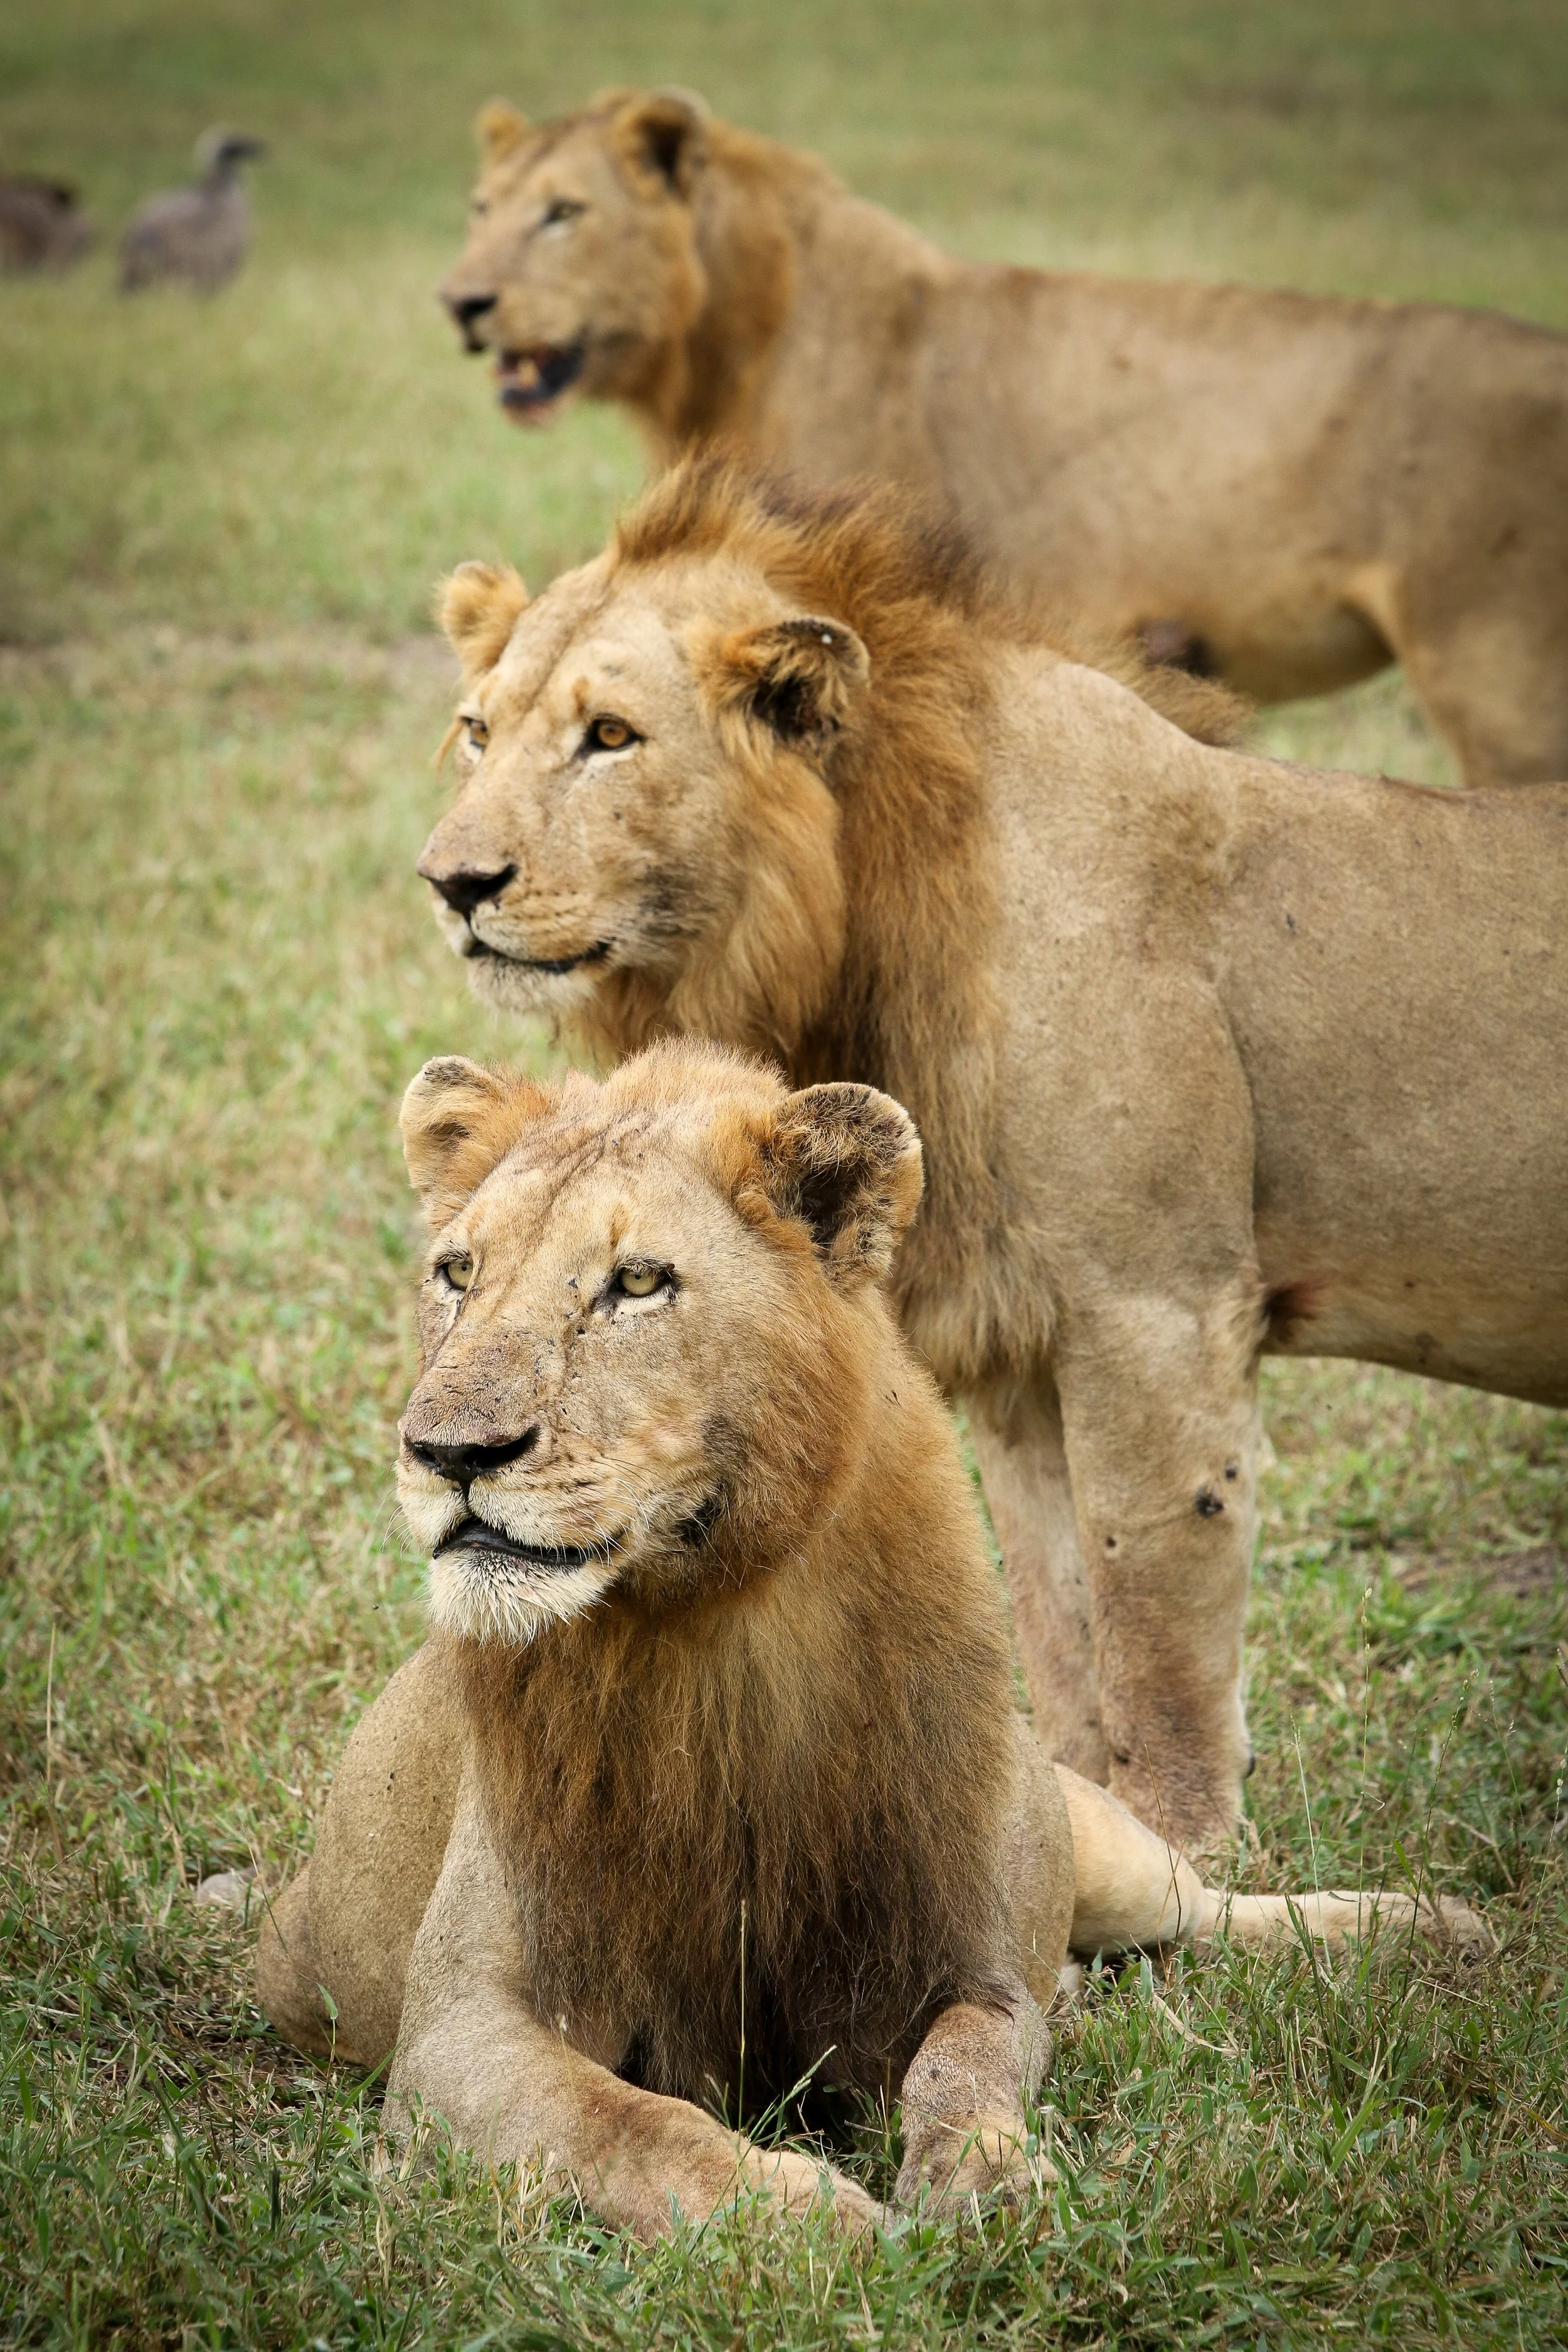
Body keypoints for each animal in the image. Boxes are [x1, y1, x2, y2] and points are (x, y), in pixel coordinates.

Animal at [252, 1044, 1481, 2240]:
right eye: (458, 1274)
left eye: (638, 1281)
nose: (446, 1451)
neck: (712, 1627)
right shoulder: (457, 2034)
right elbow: (629, 2124)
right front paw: (807, 2219)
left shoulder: (965, 1946)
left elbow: (966, 2062)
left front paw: (987, 2184)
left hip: (1087, 1835)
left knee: (1207, 1906)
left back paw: (1428, 1926)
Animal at [412, 455, 1568, 1857]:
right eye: (479, 731)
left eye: (612, 738)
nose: (451, 882)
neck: (850, 925)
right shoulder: (1017, 1349)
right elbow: (1059, 1620)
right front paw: (1070, 1832)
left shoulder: (1158, 1314)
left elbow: (1154, 1629)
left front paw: (1181, 1857)